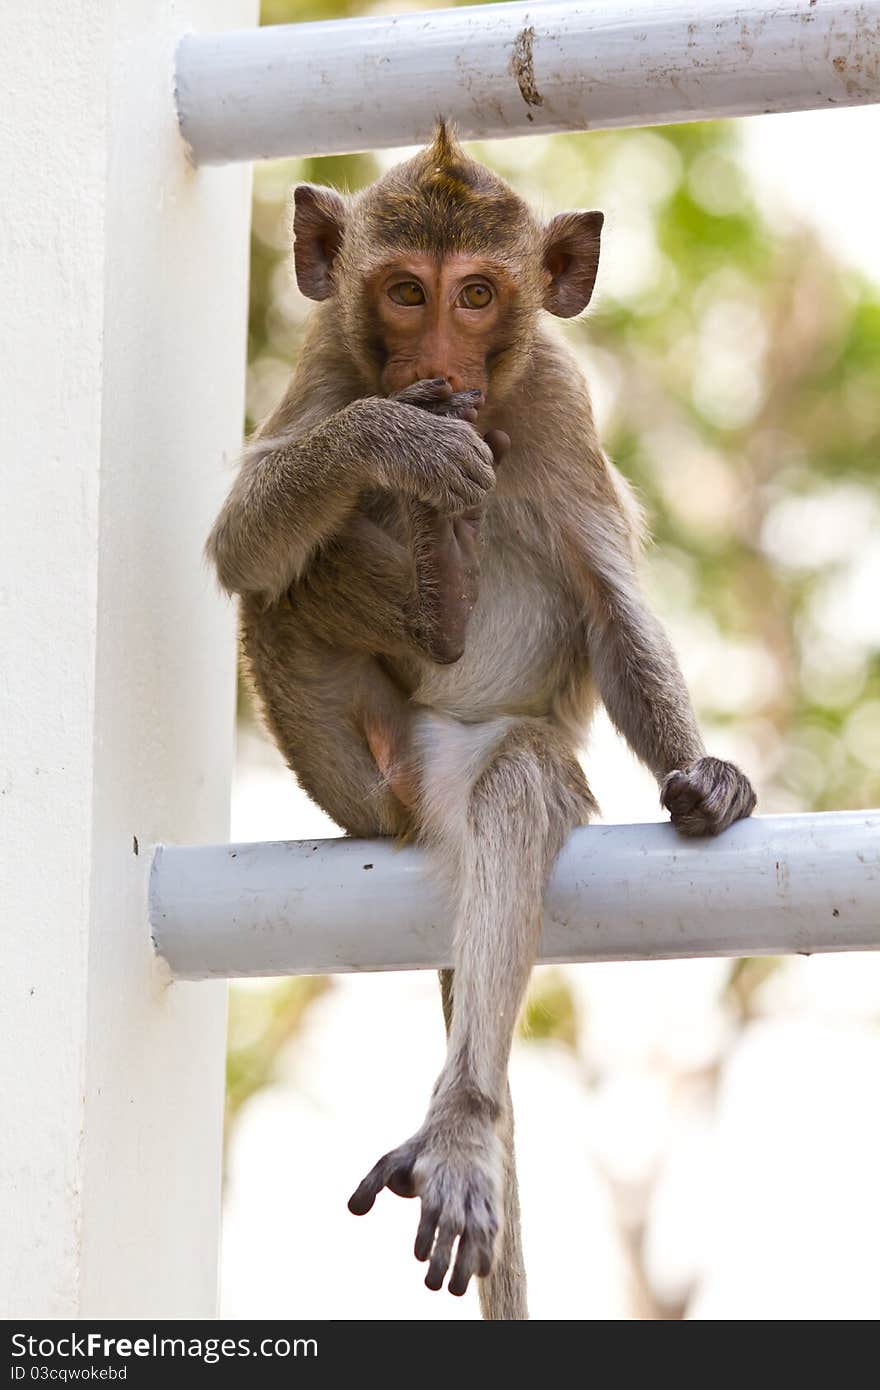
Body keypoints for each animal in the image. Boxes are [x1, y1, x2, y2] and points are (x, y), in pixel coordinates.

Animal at [205, 125, 756, 1317]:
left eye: (477, 295)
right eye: (406, 292)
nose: (441, 369)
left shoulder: (558, 397)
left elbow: (608, 603)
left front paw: (704, 776)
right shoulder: (327, 361)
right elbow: (240, 546)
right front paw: (399, 440)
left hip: (458, 758)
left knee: (521, 779)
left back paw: (460, 1125)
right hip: (361, 771)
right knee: (283, 592)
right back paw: (440, 586)